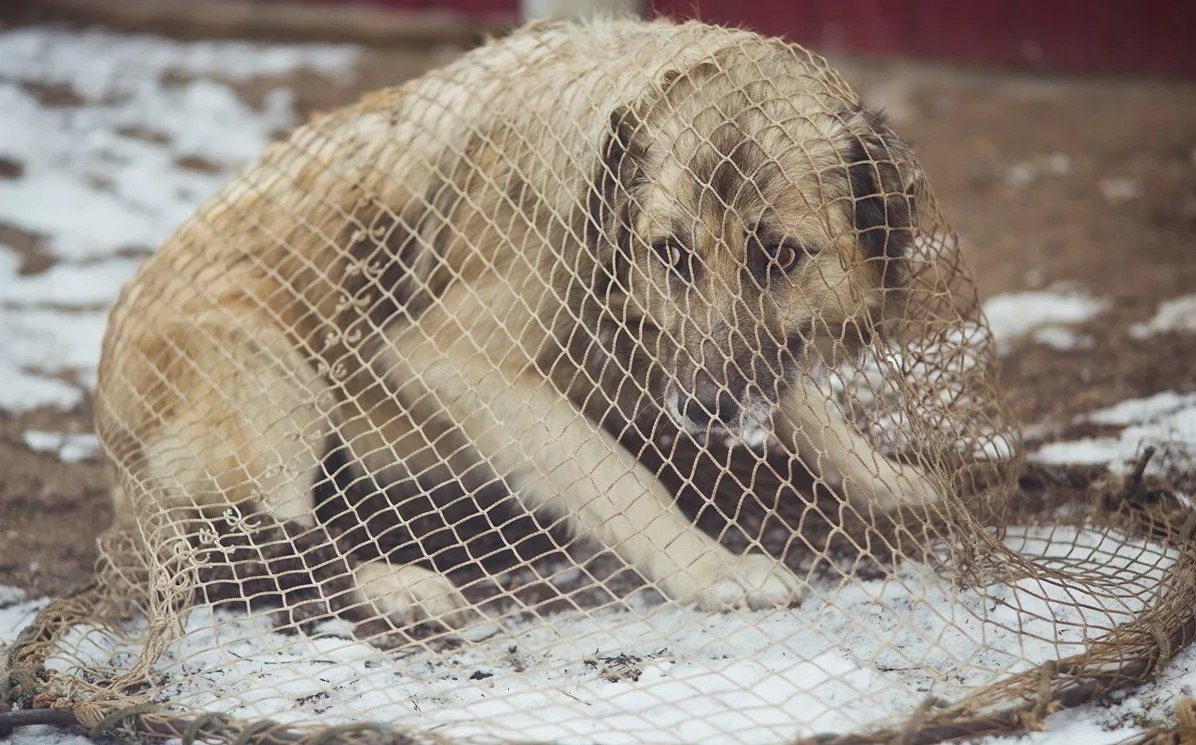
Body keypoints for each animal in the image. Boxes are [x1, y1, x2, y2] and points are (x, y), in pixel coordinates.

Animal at [98, 17, 937, 626]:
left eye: (782, 255)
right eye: (670, 252)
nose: (704, 411)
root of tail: (112, 443)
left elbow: (809, 405)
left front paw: (888, 480)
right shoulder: (445, 358)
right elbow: (618, 475)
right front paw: (711, 567)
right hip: (275, 377)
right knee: (242, 557)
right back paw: (397, 586)